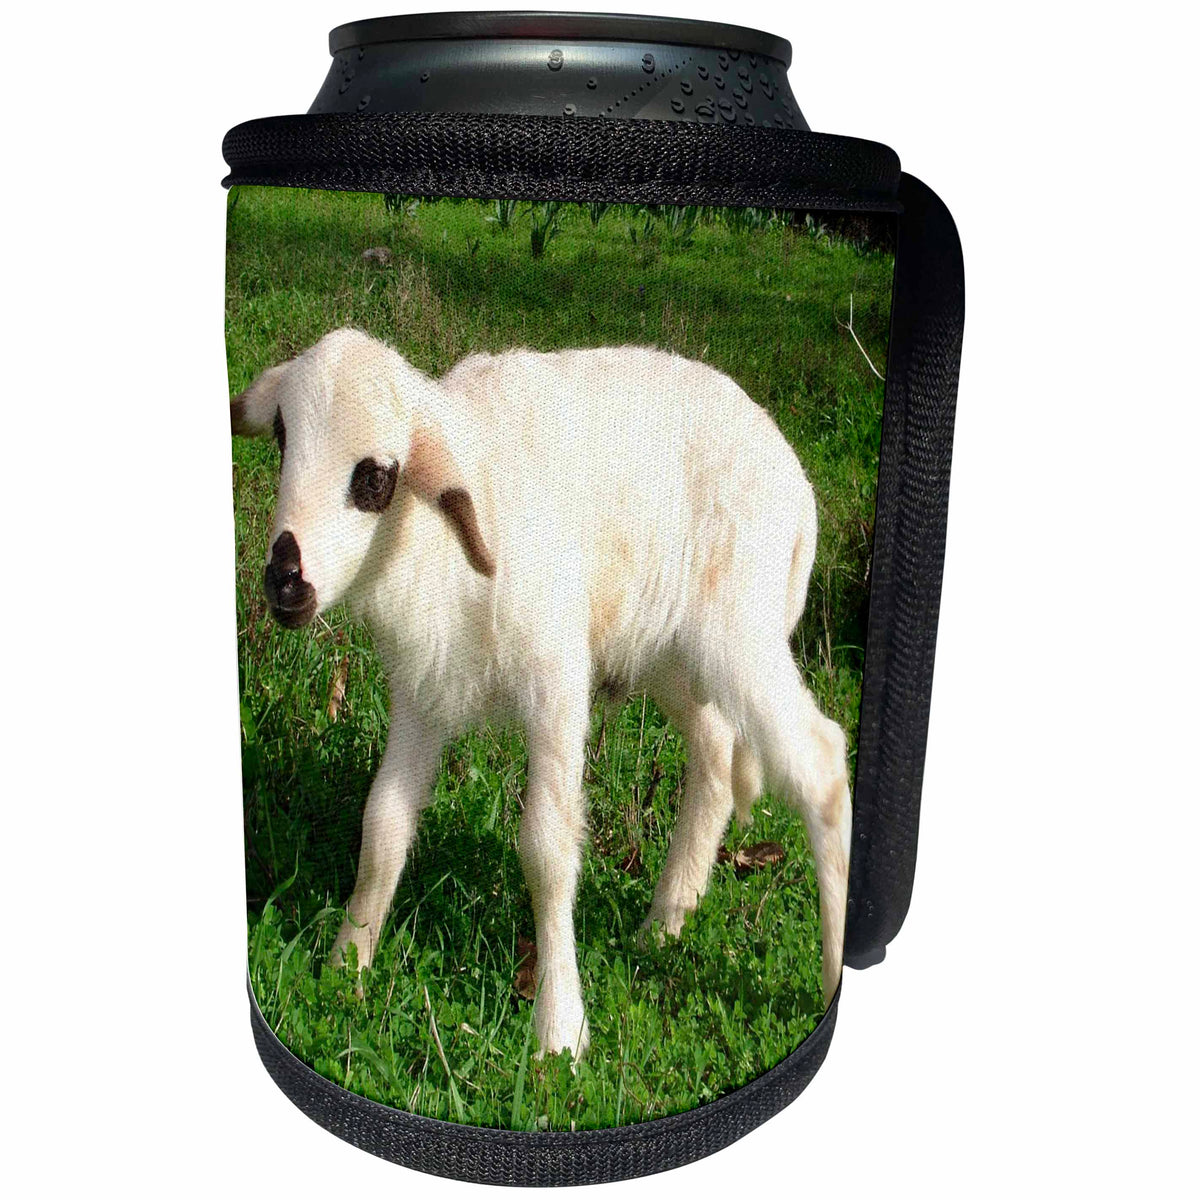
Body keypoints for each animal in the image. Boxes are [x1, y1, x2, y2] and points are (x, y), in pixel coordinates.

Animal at [231, 327, 852, 1061]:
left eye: (374, 477)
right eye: (282, 438)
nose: (285, 583)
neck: (435, 542)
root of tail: (795, 482)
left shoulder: (556, 682)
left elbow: (547, 849)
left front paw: (559, 1027)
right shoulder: (421, 692)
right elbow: (383, 825)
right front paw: (346, 965)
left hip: (740, 630)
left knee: (820, 763)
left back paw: (829, 975)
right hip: (671, 650)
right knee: (716, 757)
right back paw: (663, 925)